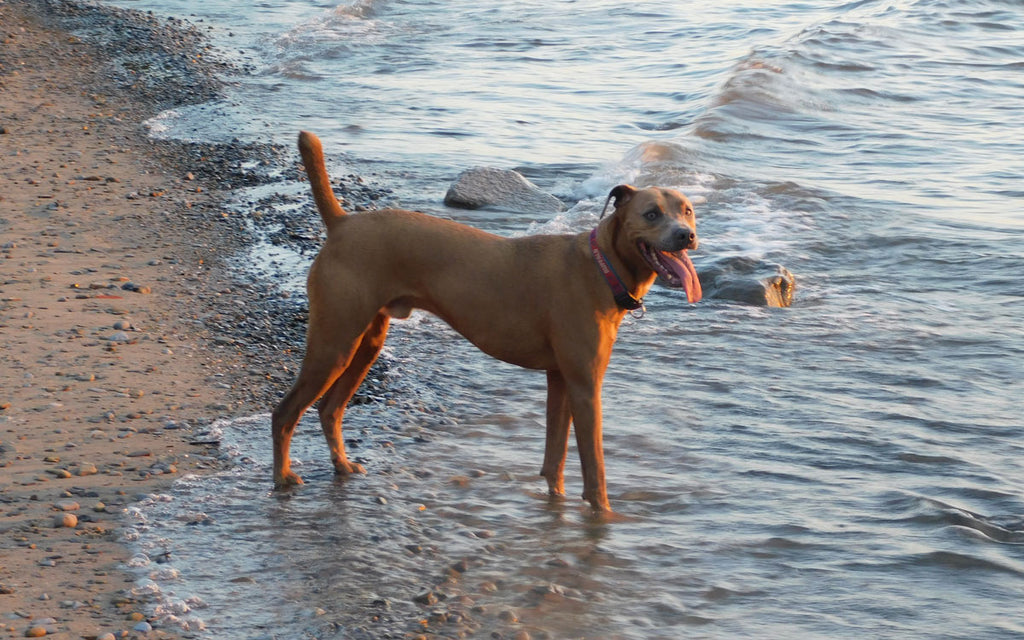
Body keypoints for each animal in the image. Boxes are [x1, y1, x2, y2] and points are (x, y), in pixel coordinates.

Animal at [272, 132, 700, 512]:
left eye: (688, 210)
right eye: (651, 214)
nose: (687, 236)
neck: (601, 267)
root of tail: (342, 223)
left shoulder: (560, 380)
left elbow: (555, 457)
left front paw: (556, 500)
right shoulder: (585, 386)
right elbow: (594, 467)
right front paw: (603, 514)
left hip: (366, 342)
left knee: (330, 409)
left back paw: (342, 466)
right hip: (335, 343)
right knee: (286, 411)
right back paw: (282, 479)